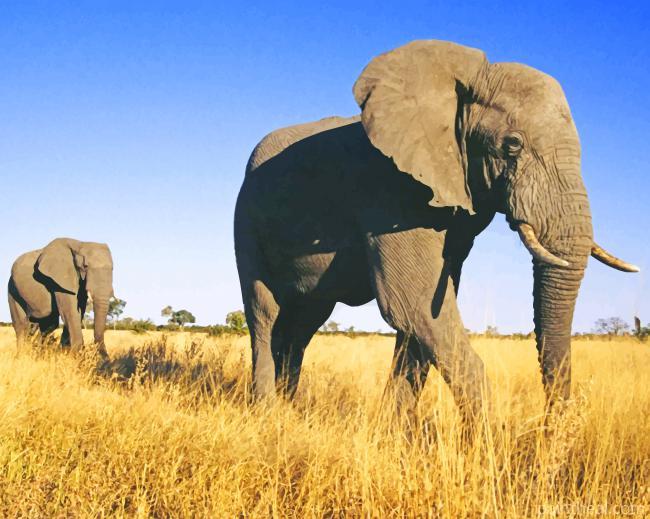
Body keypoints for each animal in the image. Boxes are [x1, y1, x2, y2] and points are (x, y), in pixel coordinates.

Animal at [234, 40, 638, 423]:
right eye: (512, 145)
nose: (550, 428)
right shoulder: (389, 189)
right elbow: (412, 304)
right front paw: (489, 442)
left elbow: (424, 316)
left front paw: (393, 434)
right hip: (246, 221)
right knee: (265, 314)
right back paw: (269, 414)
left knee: (305, 321)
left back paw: (290, 407)